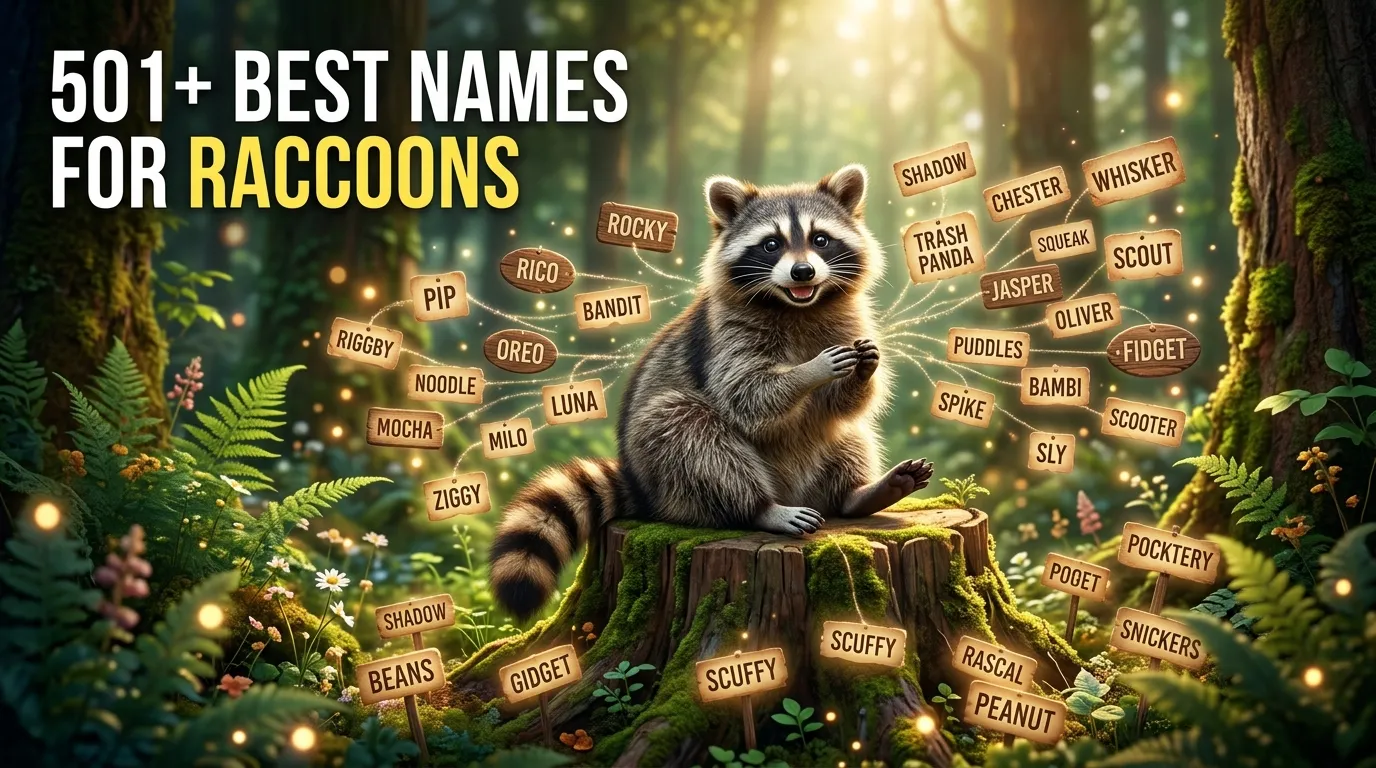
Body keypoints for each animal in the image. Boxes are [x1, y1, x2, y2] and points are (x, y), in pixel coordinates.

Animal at [490, 165, 934, 619]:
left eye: (821, 240)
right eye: (771, 244)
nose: (803, 273)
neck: (798, 306)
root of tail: (643, 487)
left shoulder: (848, 321)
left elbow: (844, 405)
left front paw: (863, 373)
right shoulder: (726, 335)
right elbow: (746, 394)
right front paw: (808, 371)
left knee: (847, 435)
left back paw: (855, 494)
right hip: (666, 461)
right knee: (693, 434)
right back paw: (760, 508)